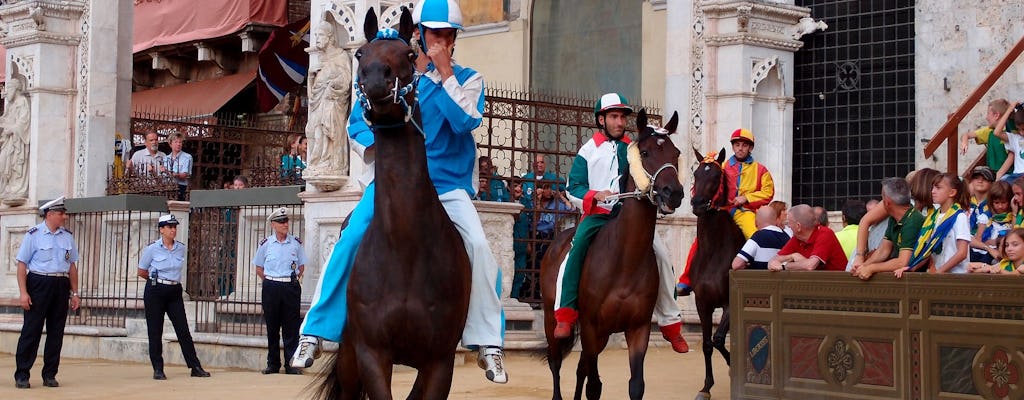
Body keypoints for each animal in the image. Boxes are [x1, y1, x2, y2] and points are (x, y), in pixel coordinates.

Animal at [540, 107, 684, 398]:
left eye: (675, 153)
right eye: (645, 153)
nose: (673, 192)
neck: (625, 261)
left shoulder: (638, 328)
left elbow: (636, 385)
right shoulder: (592, 327)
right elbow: (594, 385)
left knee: (580, 368)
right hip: (553, 320)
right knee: (556, 362)